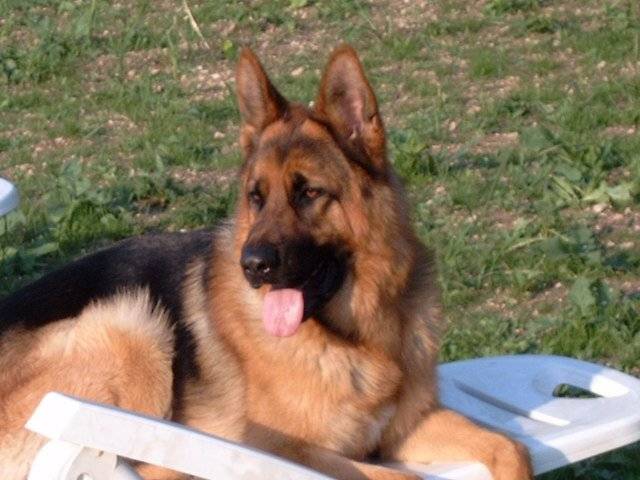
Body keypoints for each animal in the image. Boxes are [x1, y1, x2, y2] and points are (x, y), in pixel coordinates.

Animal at [0, 45, 532, 479]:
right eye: (256, 197)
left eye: (309, 193)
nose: (252, 266)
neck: (356, 335)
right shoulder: (278, 448)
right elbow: (401, 478)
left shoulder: (409, 426)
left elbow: (511, 448)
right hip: (132, 323)